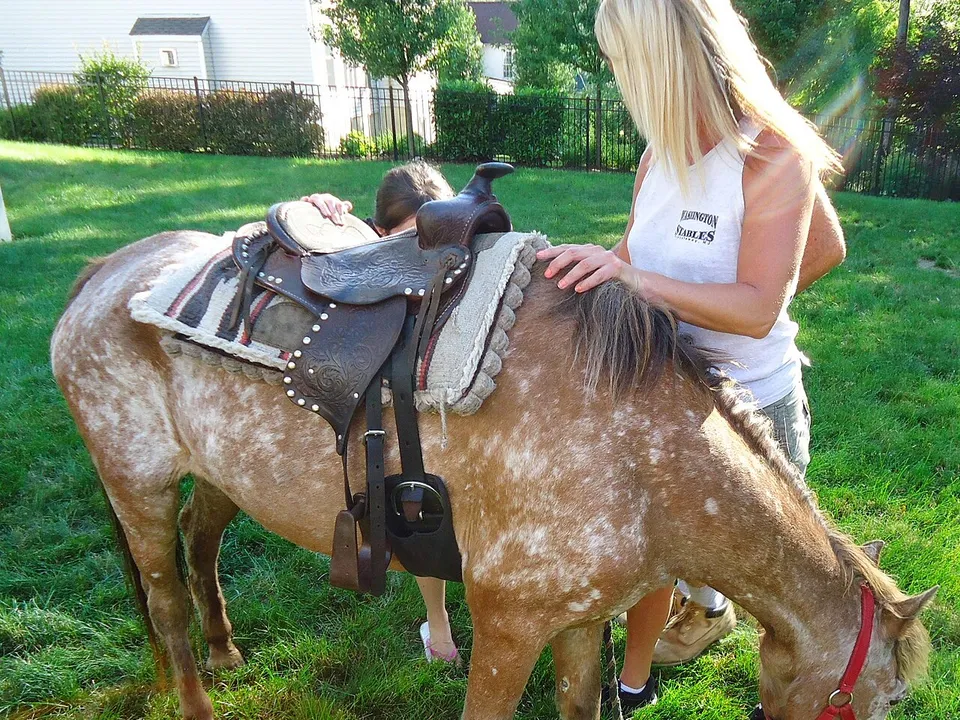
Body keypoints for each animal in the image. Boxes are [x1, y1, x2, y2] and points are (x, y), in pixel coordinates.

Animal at [50, 229, 936, 720]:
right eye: (892, 697)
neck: (641, 458)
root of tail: (103, 272)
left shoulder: (581, 622)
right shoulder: (508, 628)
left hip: (219, 478)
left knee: (200, 548)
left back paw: (227, 651)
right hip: (136, 484)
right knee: (164, 599)